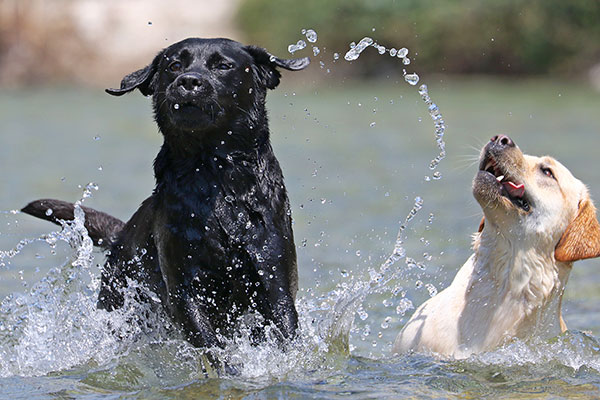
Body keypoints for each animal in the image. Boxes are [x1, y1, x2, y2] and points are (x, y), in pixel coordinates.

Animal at [20, 39, 310, 360]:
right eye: (174, 65)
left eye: (223, 65)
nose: (189, 82)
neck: (213, 177)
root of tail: (122, 234)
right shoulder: (184, 292)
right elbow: (212, 347)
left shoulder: (276, 284)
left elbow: (285, 331)